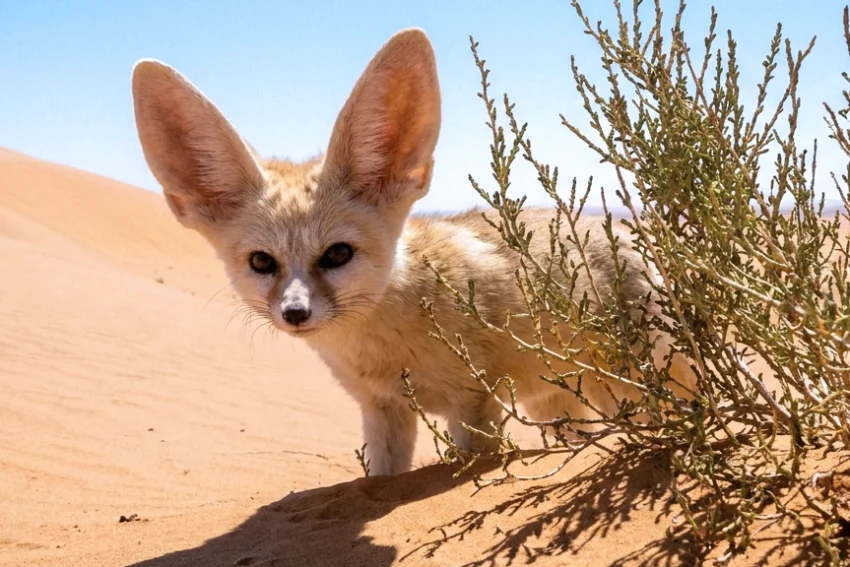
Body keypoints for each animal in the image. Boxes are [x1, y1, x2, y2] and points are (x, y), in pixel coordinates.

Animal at [131, 28, 696, 476]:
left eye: (337, 255)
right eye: (261, 263)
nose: (295, 313)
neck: (385, 344)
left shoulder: (475, 405)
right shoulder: (383, 413)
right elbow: (380, 480)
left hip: (638, 384)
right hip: (558, 404)